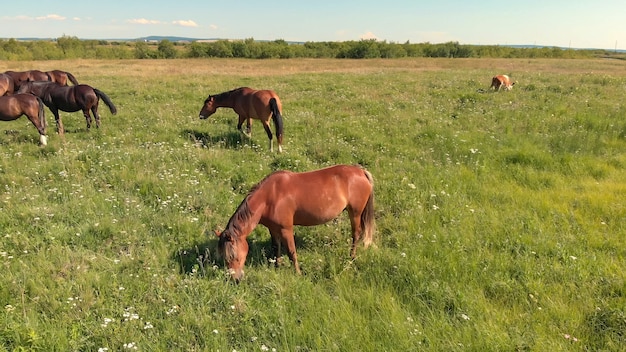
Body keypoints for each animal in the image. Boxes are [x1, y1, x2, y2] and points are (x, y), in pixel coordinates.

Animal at [217, 164, 372, 282]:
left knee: (356, 234)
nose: (235, 279)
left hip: (355, 213)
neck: (270, 197)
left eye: (233, 255)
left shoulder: (286, 229)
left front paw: (297, 273)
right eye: (223, 256)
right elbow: (276, 248)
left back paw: (352, 257)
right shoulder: (273, 229)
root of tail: (361, 172)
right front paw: (277, 267)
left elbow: (292, 252)